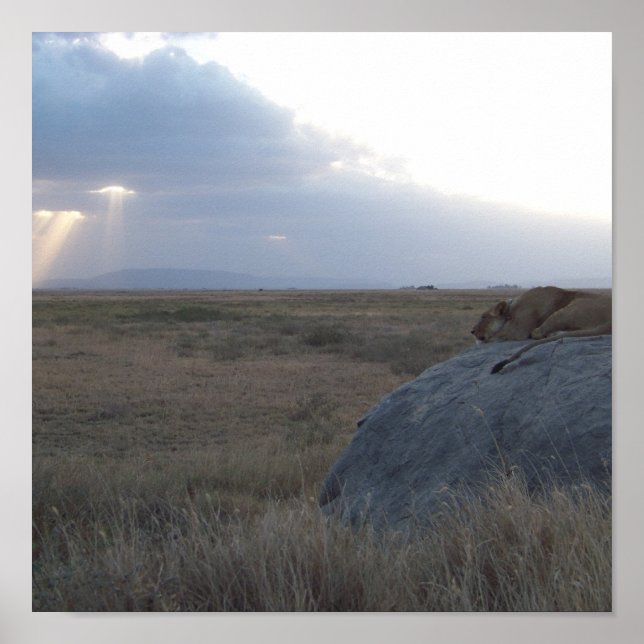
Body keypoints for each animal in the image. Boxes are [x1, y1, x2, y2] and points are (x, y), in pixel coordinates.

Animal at [470, 286, 611, 373]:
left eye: (484, 317)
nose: (472, 331)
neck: (511, 310)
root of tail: (610, 323)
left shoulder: (519, 330)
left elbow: (496, 335)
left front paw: (479, 340)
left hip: (568, 309)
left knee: (537, 332)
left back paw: (553, 334)